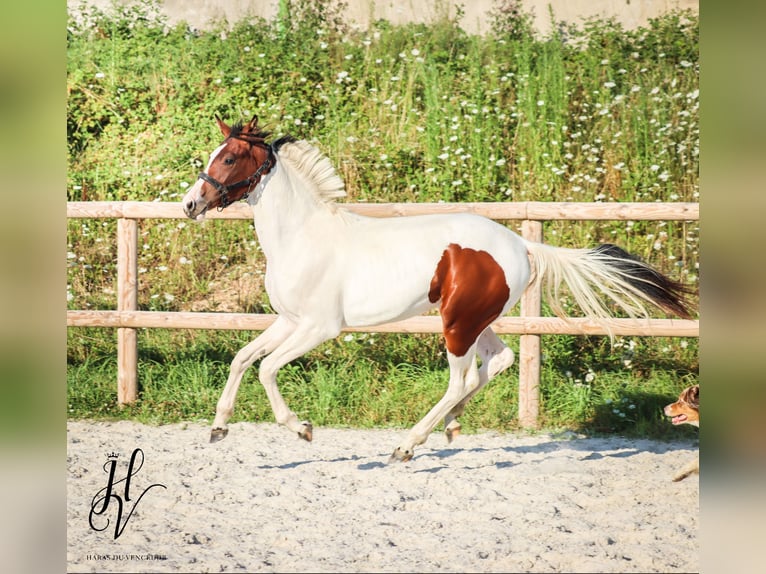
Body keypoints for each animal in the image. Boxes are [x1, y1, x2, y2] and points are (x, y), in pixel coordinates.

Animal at [182, 117, 696, 464]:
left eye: (229, 157)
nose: (191, 203)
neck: (302, 235)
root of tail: (520, 244)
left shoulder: (319, 327)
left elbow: (267, 368)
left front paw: (302, 429)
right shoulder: (288, 321)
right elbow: (242, 359)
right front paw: (218, 429)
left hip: (457, 324)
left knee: (459, 380)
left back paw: (407, 446)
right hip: (476, 321)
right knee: (497, 362)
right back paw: (449, 427)